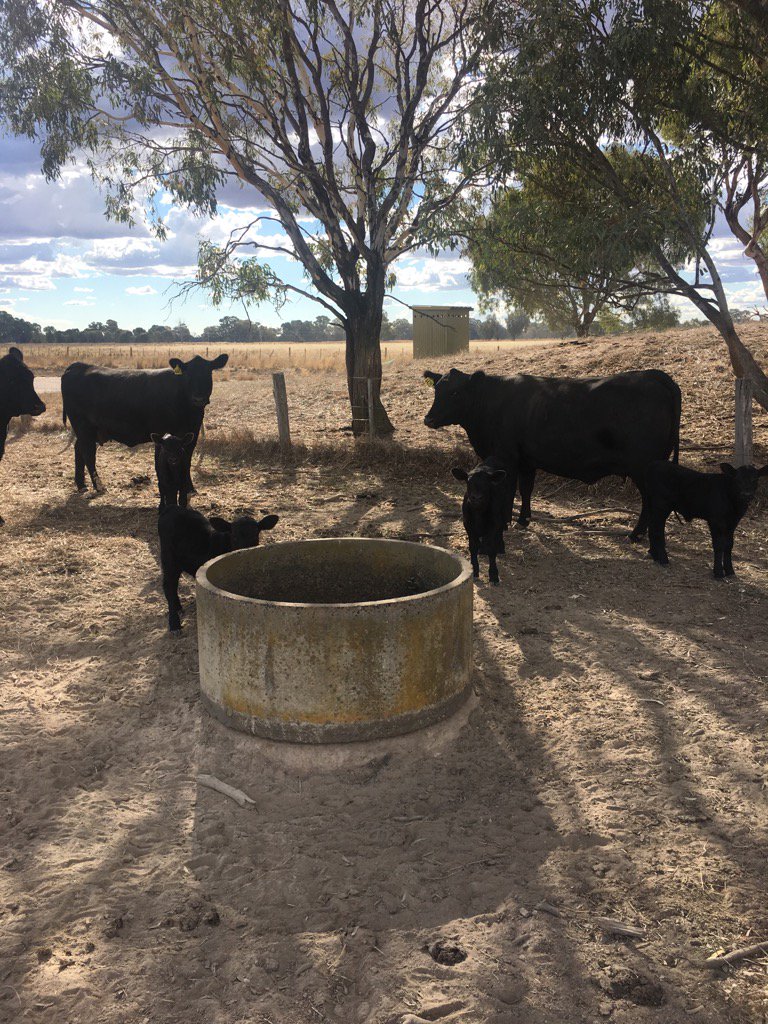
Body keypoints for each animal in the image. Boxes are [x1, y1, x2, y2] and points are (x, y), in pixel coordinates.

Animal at [61, 353, 228, 495]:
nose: (198, 398)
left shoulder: (192, 433)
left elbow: (186, 461)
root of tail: (79, 366)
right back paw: (99, 486)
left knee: (79, 449)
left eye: (209, 373)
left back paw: (81, 485)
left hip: (89, 430)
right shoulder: (161, 434)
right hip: (82, 426)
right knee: (88, 453)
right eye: (188, 375)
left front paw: (189, 489)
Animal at [423, 367, 681, 541]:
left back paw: (636, 534)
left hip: (644, 467)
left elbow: (509, 491)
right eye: (436, 390)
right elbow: (526, 489)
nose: (429, 419)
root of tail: (652, 375)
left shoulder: (507, 458)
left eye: (455, 393)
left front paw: (505, 522)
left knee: (650, 501)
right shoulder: (527, 460)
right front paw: (523, 520)